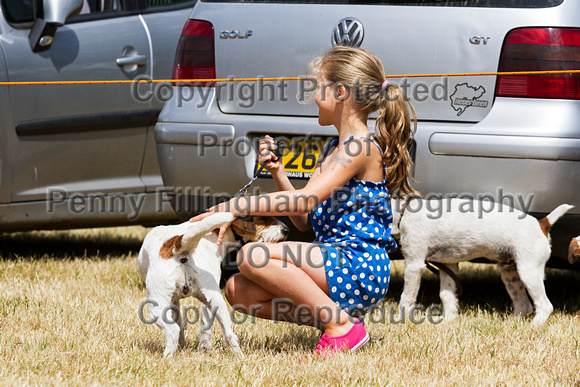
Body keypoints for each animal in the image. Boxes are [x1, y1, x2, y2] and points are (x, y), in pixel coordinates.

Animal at [139, 212, 288, 358]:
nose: (286, 230)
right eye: (263, 217)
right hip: (214, 300)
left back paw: (168, 358)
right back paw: (238, 357)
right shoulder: (189, 301)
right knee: (228, 333)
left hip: (159, 304)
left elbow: (184, 325)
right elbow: (198, 325)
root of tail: (177, 245)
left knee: (174, 330)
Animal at [392, 199, 572, 326]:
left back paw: (533, 326)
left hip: (529, 273)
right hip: (510, 275)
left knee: (544, 305)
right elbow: (447, 295)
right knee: (524, 305)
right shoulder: (447, 266)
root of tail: (542, 223)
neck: (403, 211)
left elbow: (406, 297)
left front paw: (400, 320)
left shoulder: (414, 265)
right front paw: (449, 320)